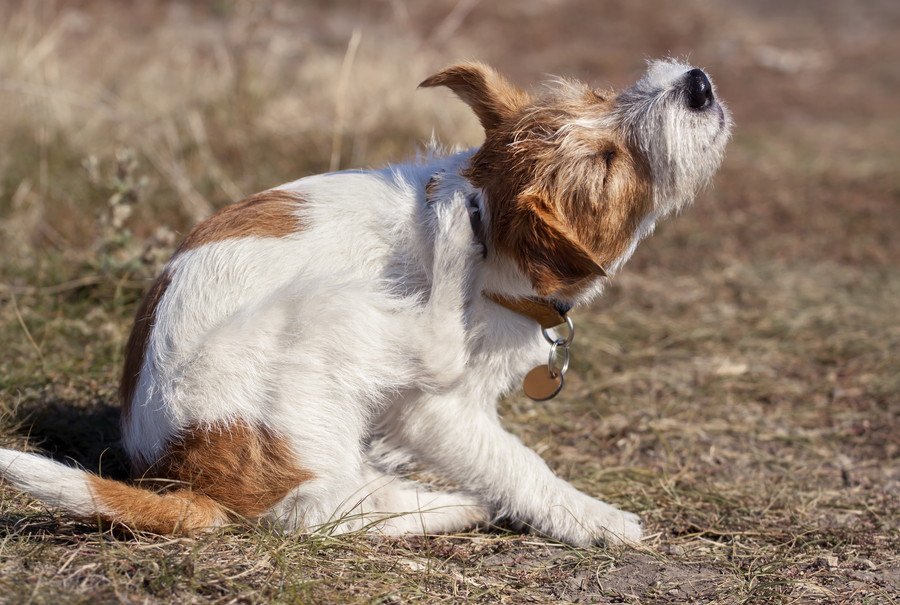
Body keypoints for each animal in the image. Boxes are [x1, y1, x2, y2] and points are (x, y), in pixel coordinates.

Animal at [0, 59, 732, 544]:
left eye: (600, 95)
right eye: (609, 161)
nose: (697, 83)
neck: (496, 232)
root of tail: (187, 477)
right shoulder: (438, 411)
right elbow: (516, 462)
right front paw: (594, 517)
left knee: (343, 500)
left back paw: (443, 500)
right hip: (325, 310)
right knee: (317, 509)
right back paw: (449, 234)